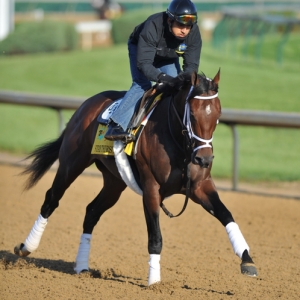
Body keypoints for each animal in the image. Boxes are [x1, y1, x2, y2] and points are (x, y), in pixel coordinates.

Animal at [14, 70, 258, 286]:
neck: (178, 143)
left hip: (114, 182)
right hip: (71, 164)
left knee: (91, 211)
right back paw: (26, 247)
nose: (204, 159)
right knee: (51, 199)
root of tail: (84, 107)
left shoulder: (200, 186)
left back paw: (82, 266)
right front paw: (155, 281)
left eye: (217, 115)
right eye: (193, 114)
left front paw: (247, 260)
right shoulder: (151, 189)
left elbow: (226, 214)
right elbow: (155, 237)